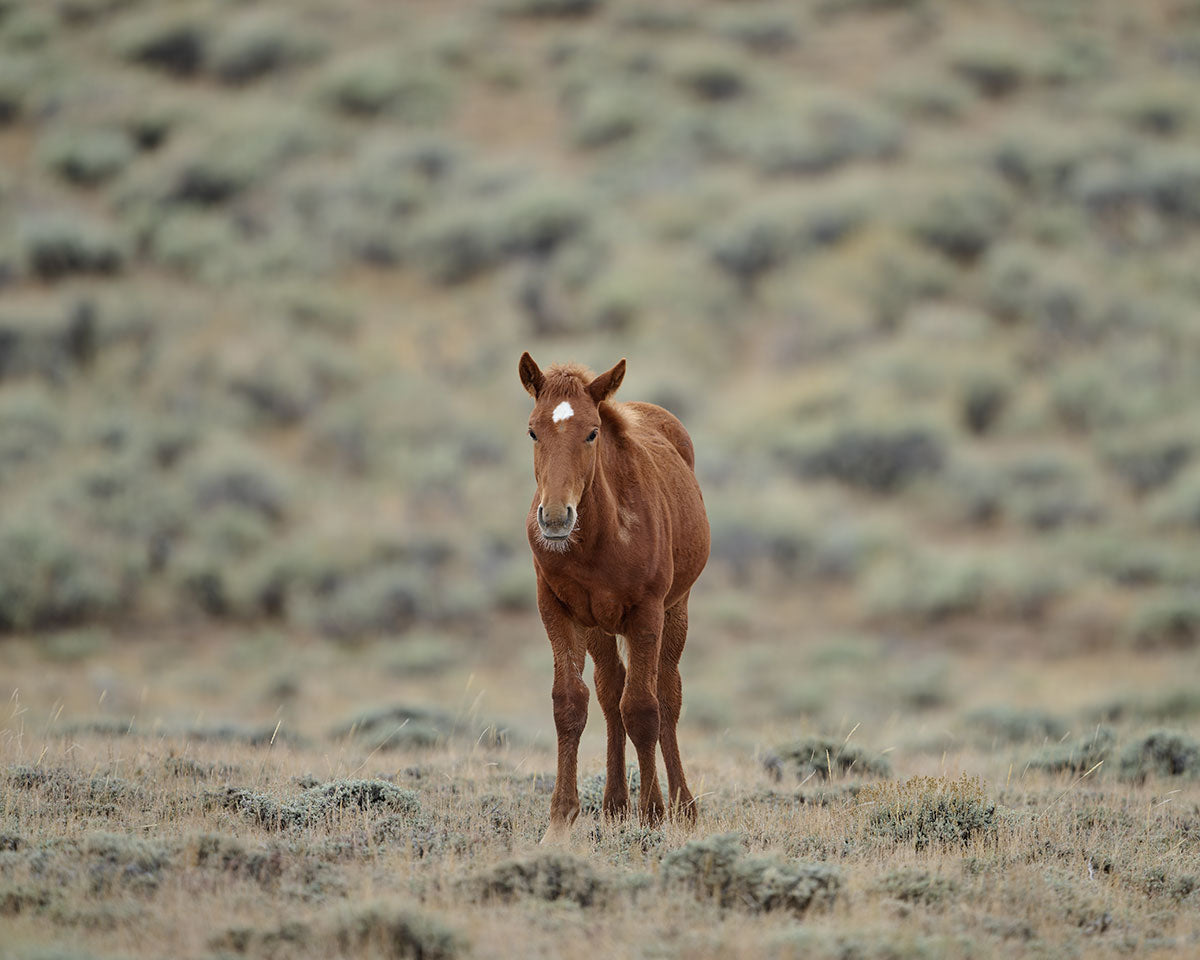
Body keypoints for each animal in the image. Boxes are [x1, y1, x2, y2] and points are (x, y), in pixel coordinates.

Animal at [518, 352, 710, 843]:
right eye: (532, 430)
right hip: (598, 626)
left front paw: (654, 815)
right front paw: (560, 821)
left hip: (675, 610)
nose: (555, 519)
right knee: (610, 693)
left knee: (666, 694)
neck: (602, 539)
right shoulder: (557, 611)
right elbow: (570, 703)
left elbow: (643, 708)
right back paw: (615, 804)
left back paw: (683, 806)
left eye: (592, 432)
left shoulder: (646, 613)